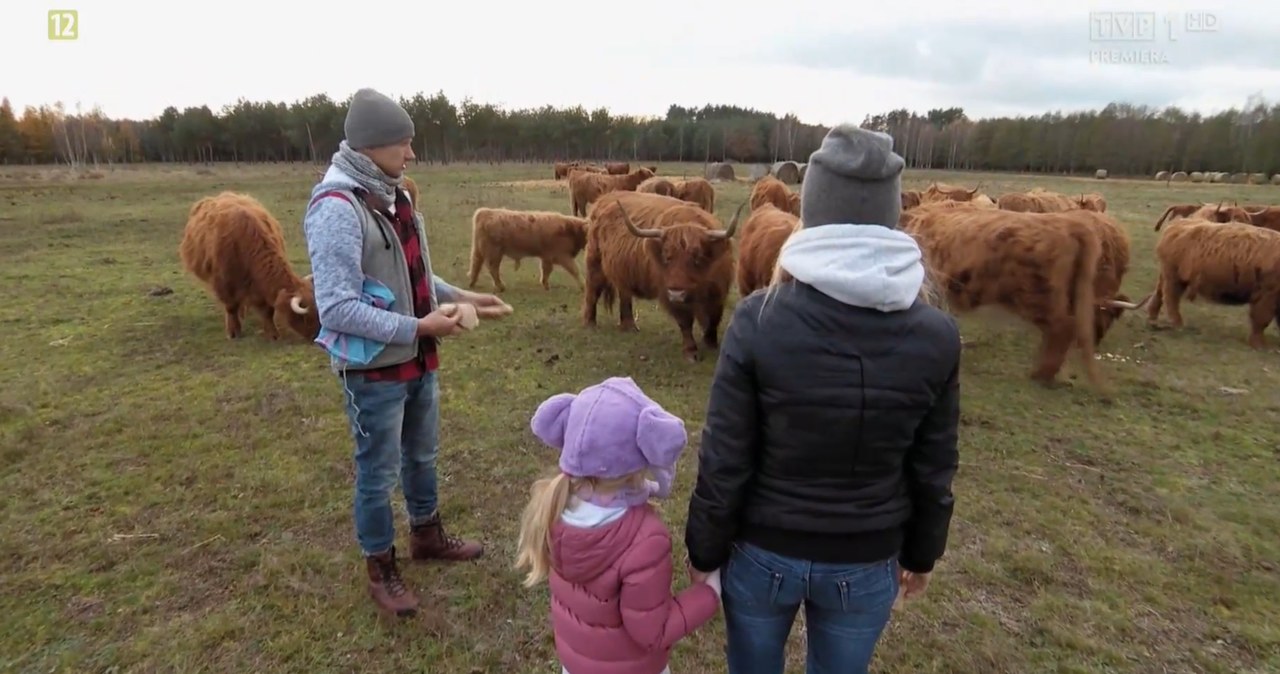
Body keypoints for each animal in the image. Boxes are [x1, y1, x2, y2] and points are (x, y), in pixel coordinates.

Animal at [177, 191, 317, 340]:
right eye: (304, 318)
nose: (316, 335)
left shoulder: (258, 286)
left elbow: (267, 311)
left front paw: (273, 334)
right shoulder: (224, 283)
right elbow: (231, 307)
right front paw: (233, 332)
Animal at [583, 191, 747, 363]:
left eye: (697, 257)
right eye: (667, 257)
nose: (677, 292)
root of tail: (605, 197)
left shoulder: (719, 292)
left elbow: (714, 318)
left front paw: (712, 344)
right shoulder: (670, 295)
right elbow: (685, 322)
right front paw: (690, 352)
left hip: (622, 270)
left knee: (624, 295)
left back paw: (629, 326)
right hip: (595, 262)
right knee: (592, 291)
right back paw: (590, 323)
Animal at [1146, 217, 1280, 347]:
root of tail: (1176, 225)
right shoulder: (1267, 295)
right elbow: (1262, 319)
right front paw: (1259, 345)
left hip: (1168, 275)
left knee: (1159, 293)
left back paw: (1153, 319)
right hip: (1174, 277)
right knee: (1171, 298)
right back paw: (1177, 324)